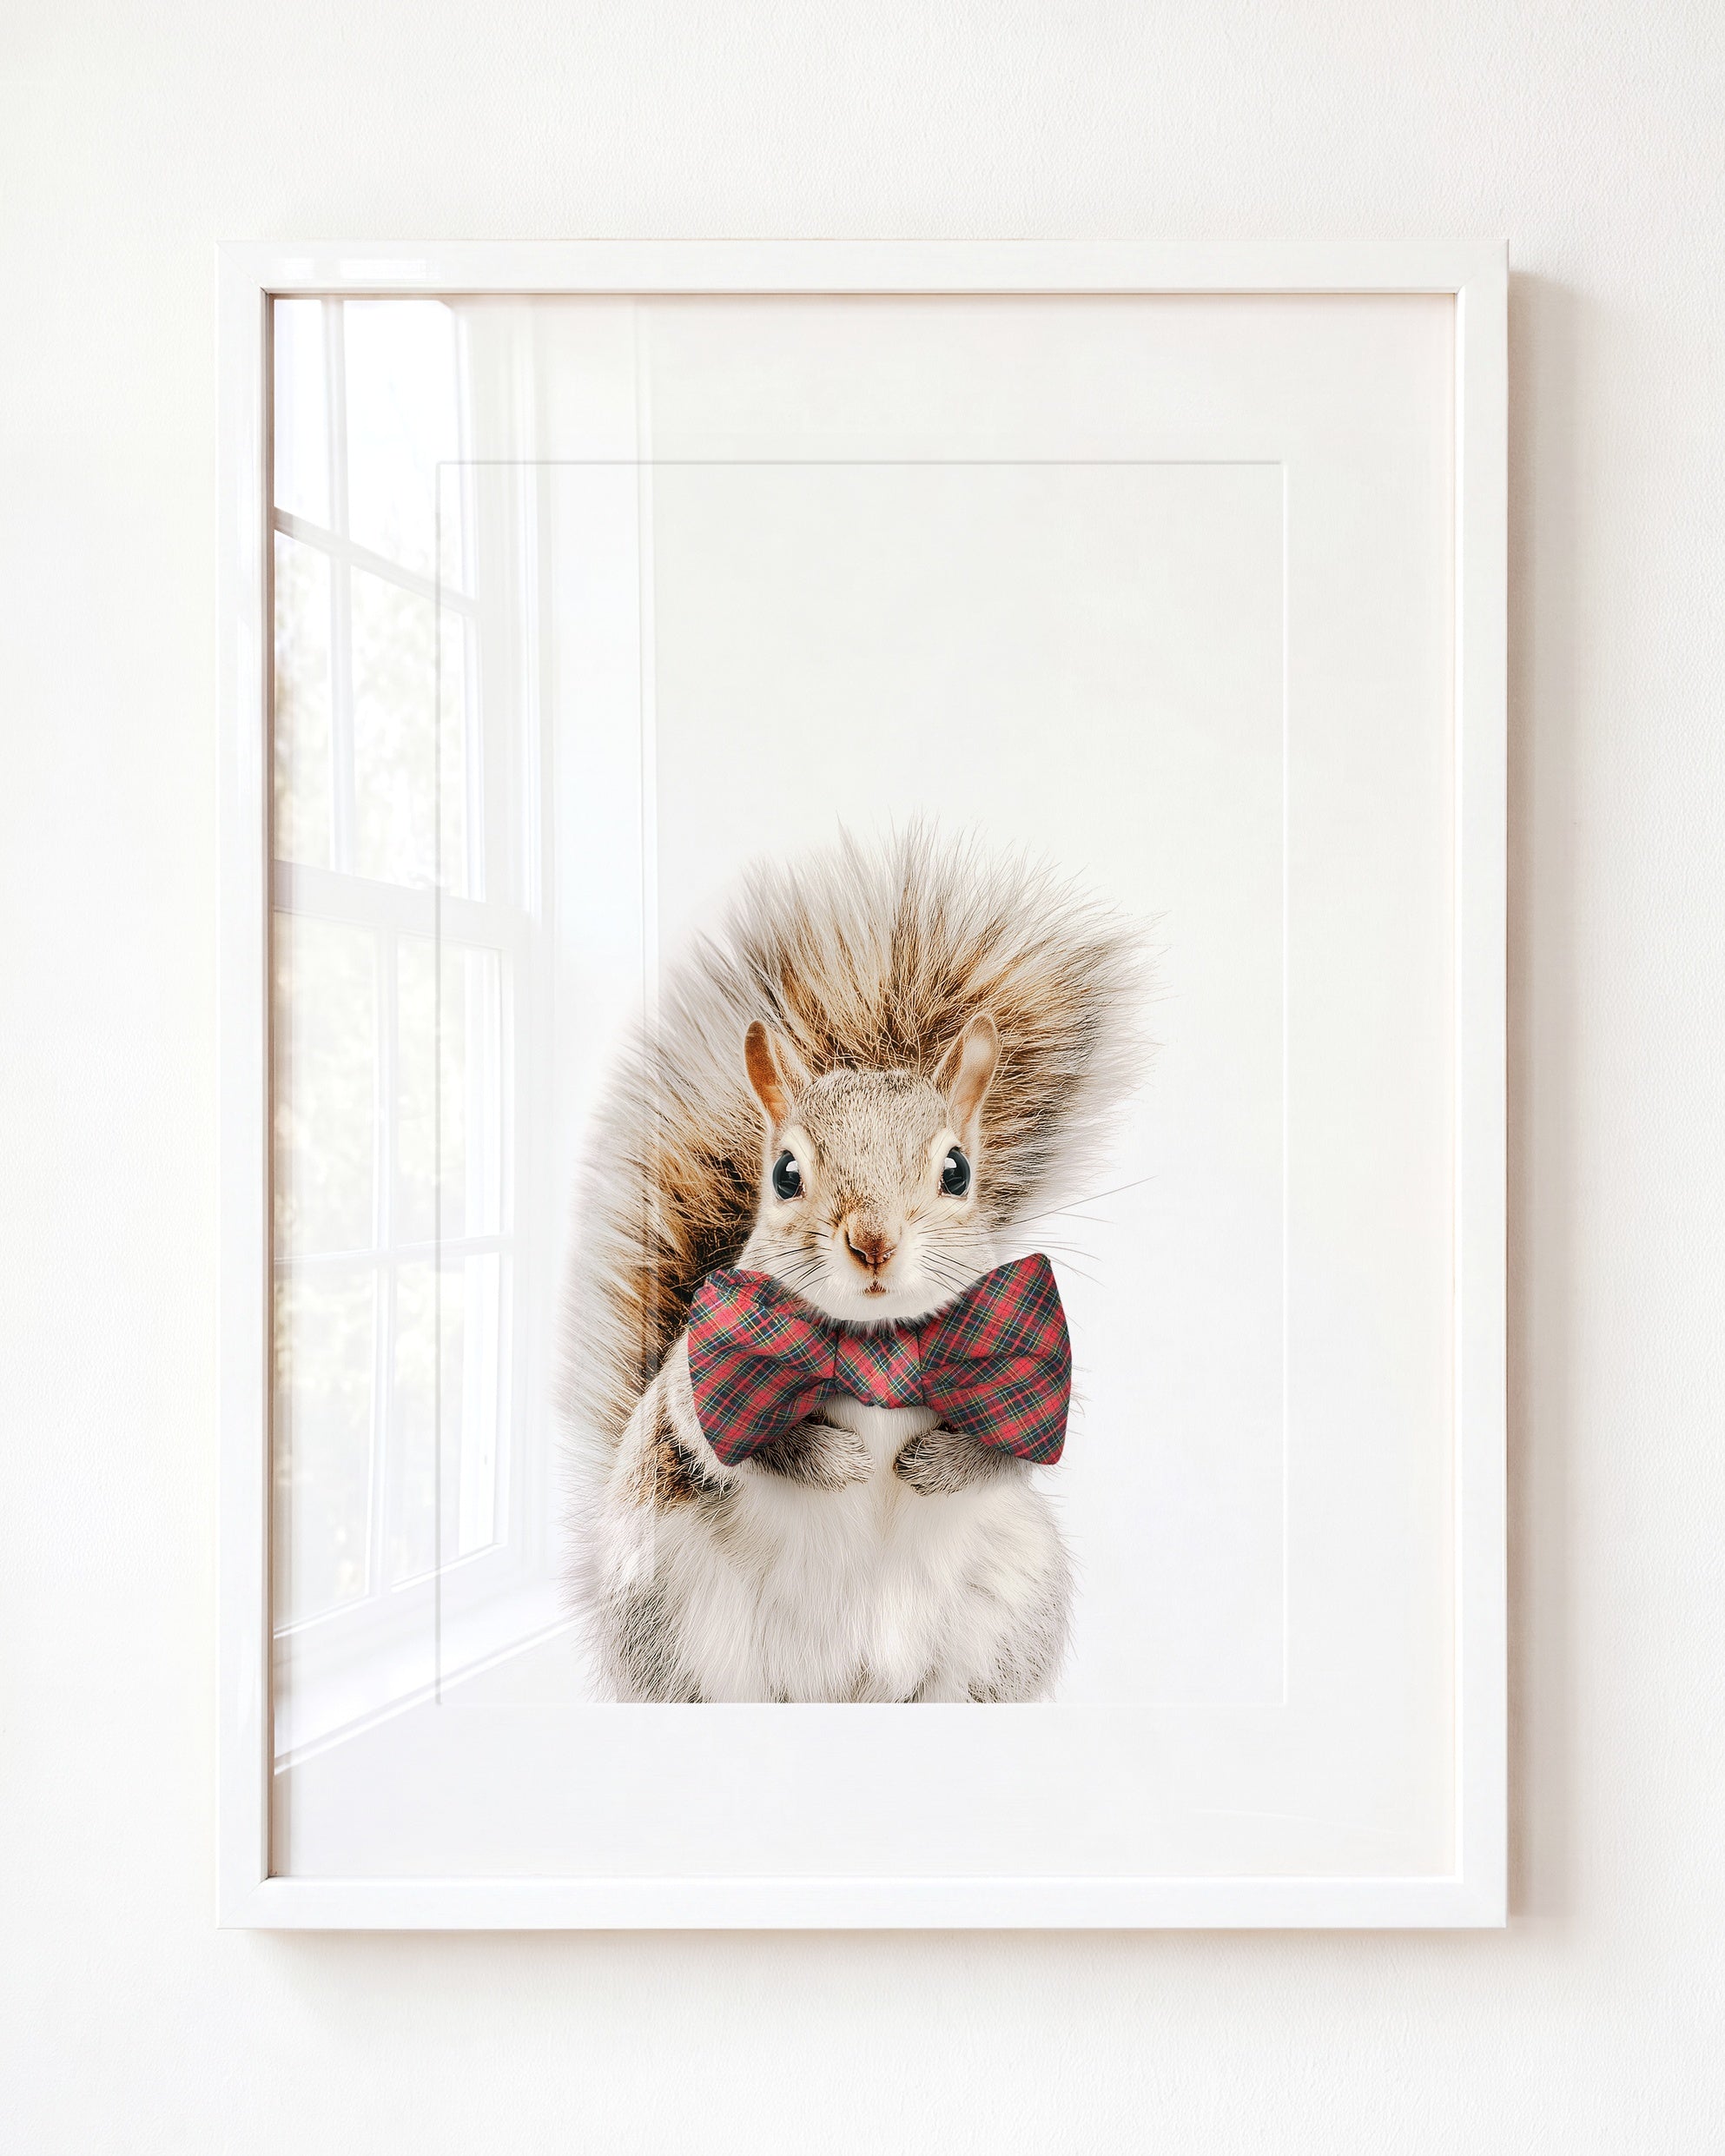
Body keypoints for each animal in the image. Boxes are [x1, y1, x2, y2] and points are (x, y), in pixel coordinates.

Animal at [557, 825, 1145, 1702]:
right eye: (784, 1174)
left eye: (957, 1171)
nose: (872, 1240)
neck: (876, 1350)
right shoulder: (696, 1384)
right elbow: (731, 1436)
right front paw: (834, 1460)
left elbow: (1007, 1451)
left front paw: (934, 1465)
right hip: (682, 1624)